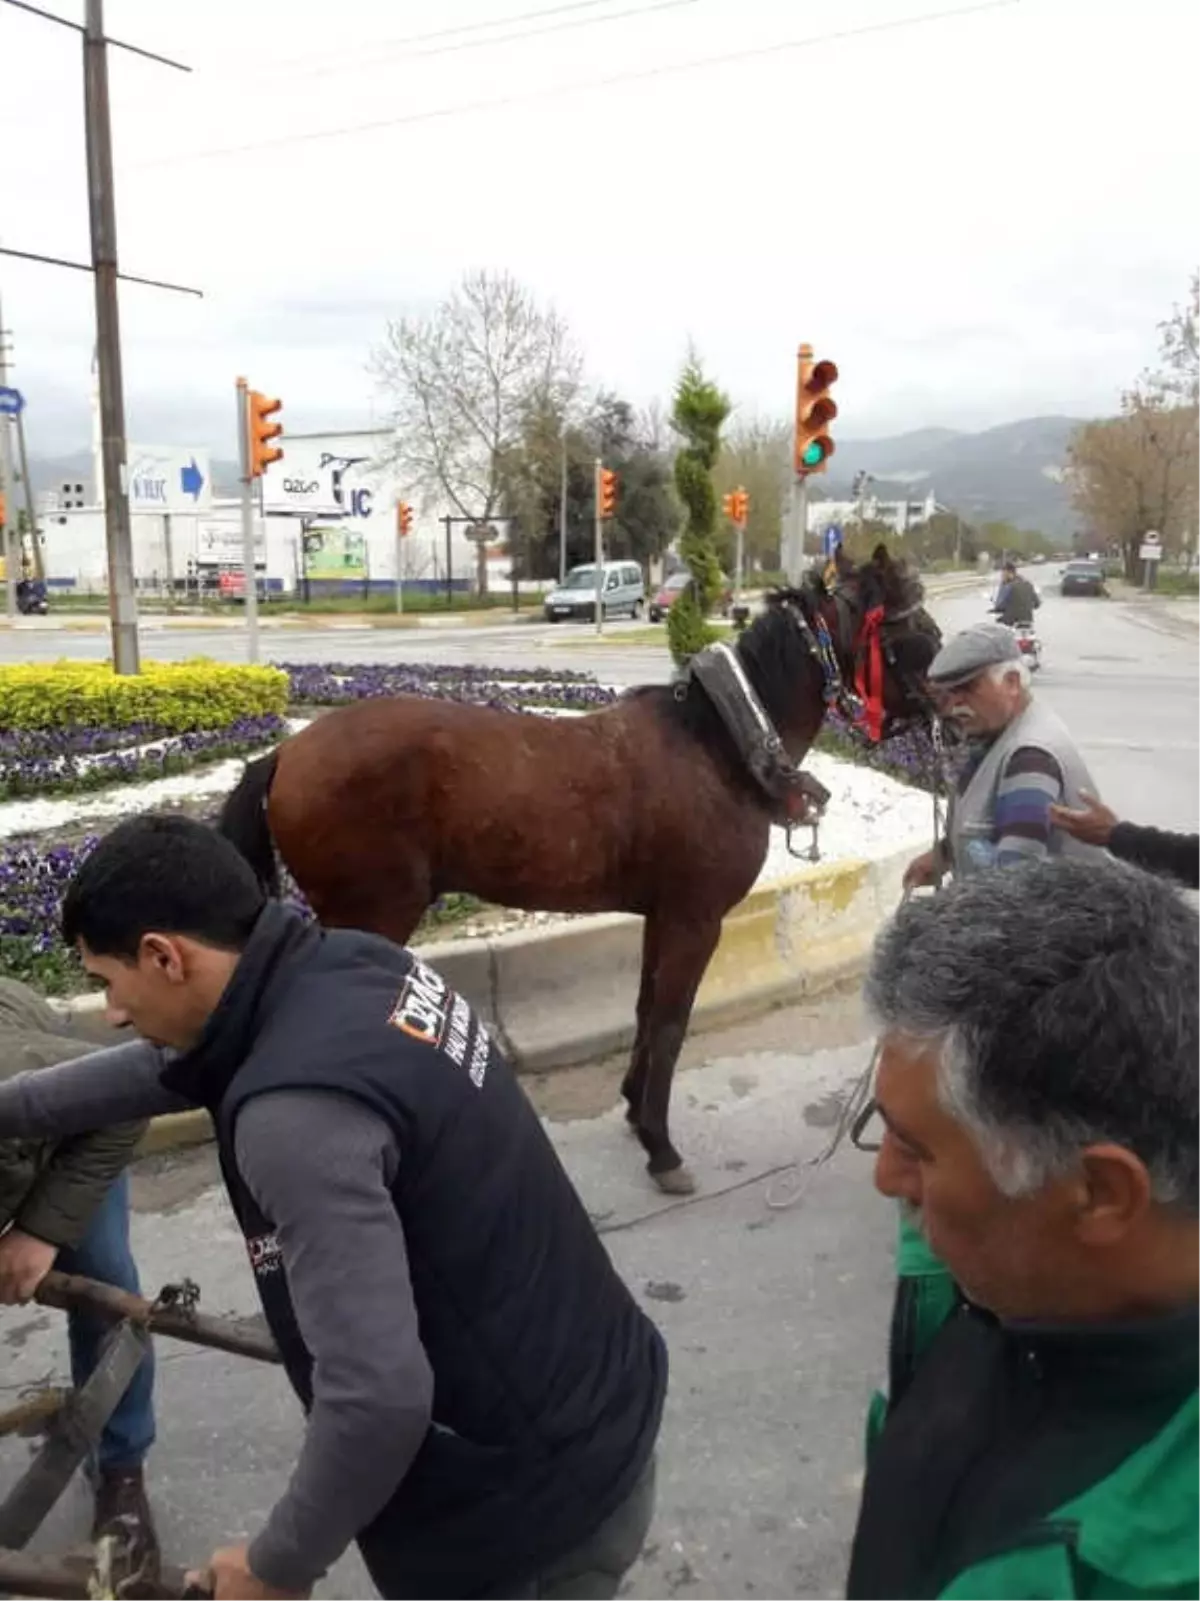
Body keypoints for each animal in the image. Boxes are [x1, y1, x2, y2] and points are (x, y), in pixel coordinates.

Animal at [220, 550, 947, 1191]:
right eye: (913, 627)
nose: (947, 703)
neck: (720, 745)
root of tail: (284, 755)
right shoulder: (695, 918)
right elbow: (671, 1022)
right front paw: (661, 1146)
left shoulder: (663, 916)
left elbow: (647, 1008)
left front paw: (634, 1109)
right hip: (372, 915)